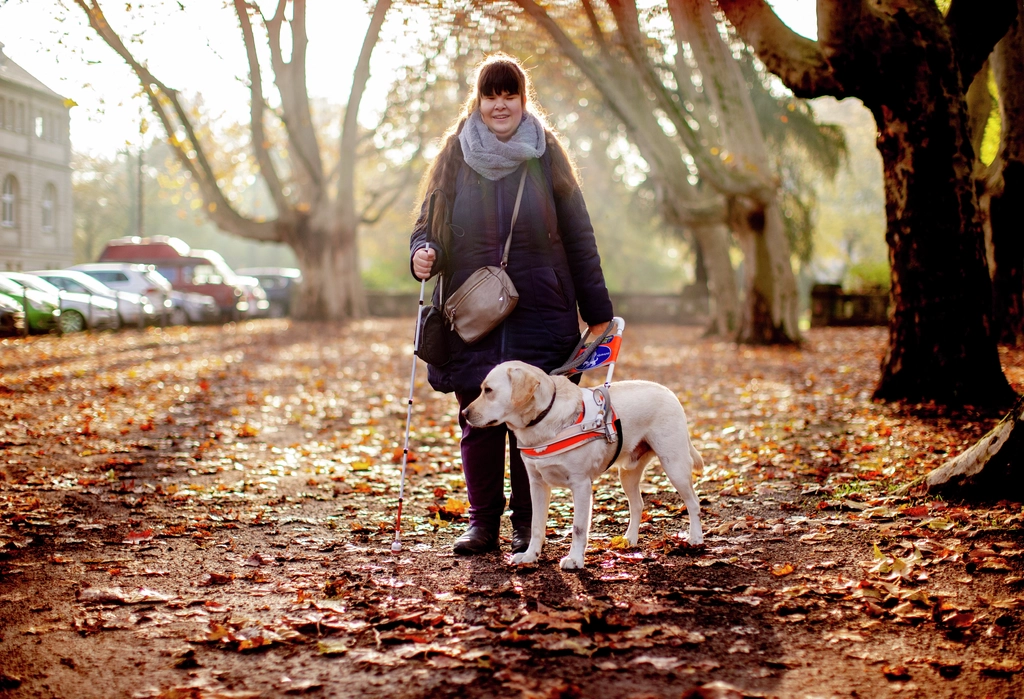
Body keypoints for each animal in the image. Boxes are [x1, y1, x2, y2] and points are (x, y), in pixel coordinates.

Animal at [464, 364, 704, 573]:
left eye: (488, 390)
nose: (464, 413)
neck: (544, 420)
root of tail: (668, 392)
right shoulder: (537, 484)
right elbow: (536, 526)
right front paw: (531, 556)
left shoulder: (580, 485)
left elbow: (578, 528)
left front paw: (575, 560)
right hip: (628, 473)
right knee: (638, 505)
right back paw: (629, 539)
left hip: (674, 465)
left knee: (693, 502)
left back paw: (695, 538)